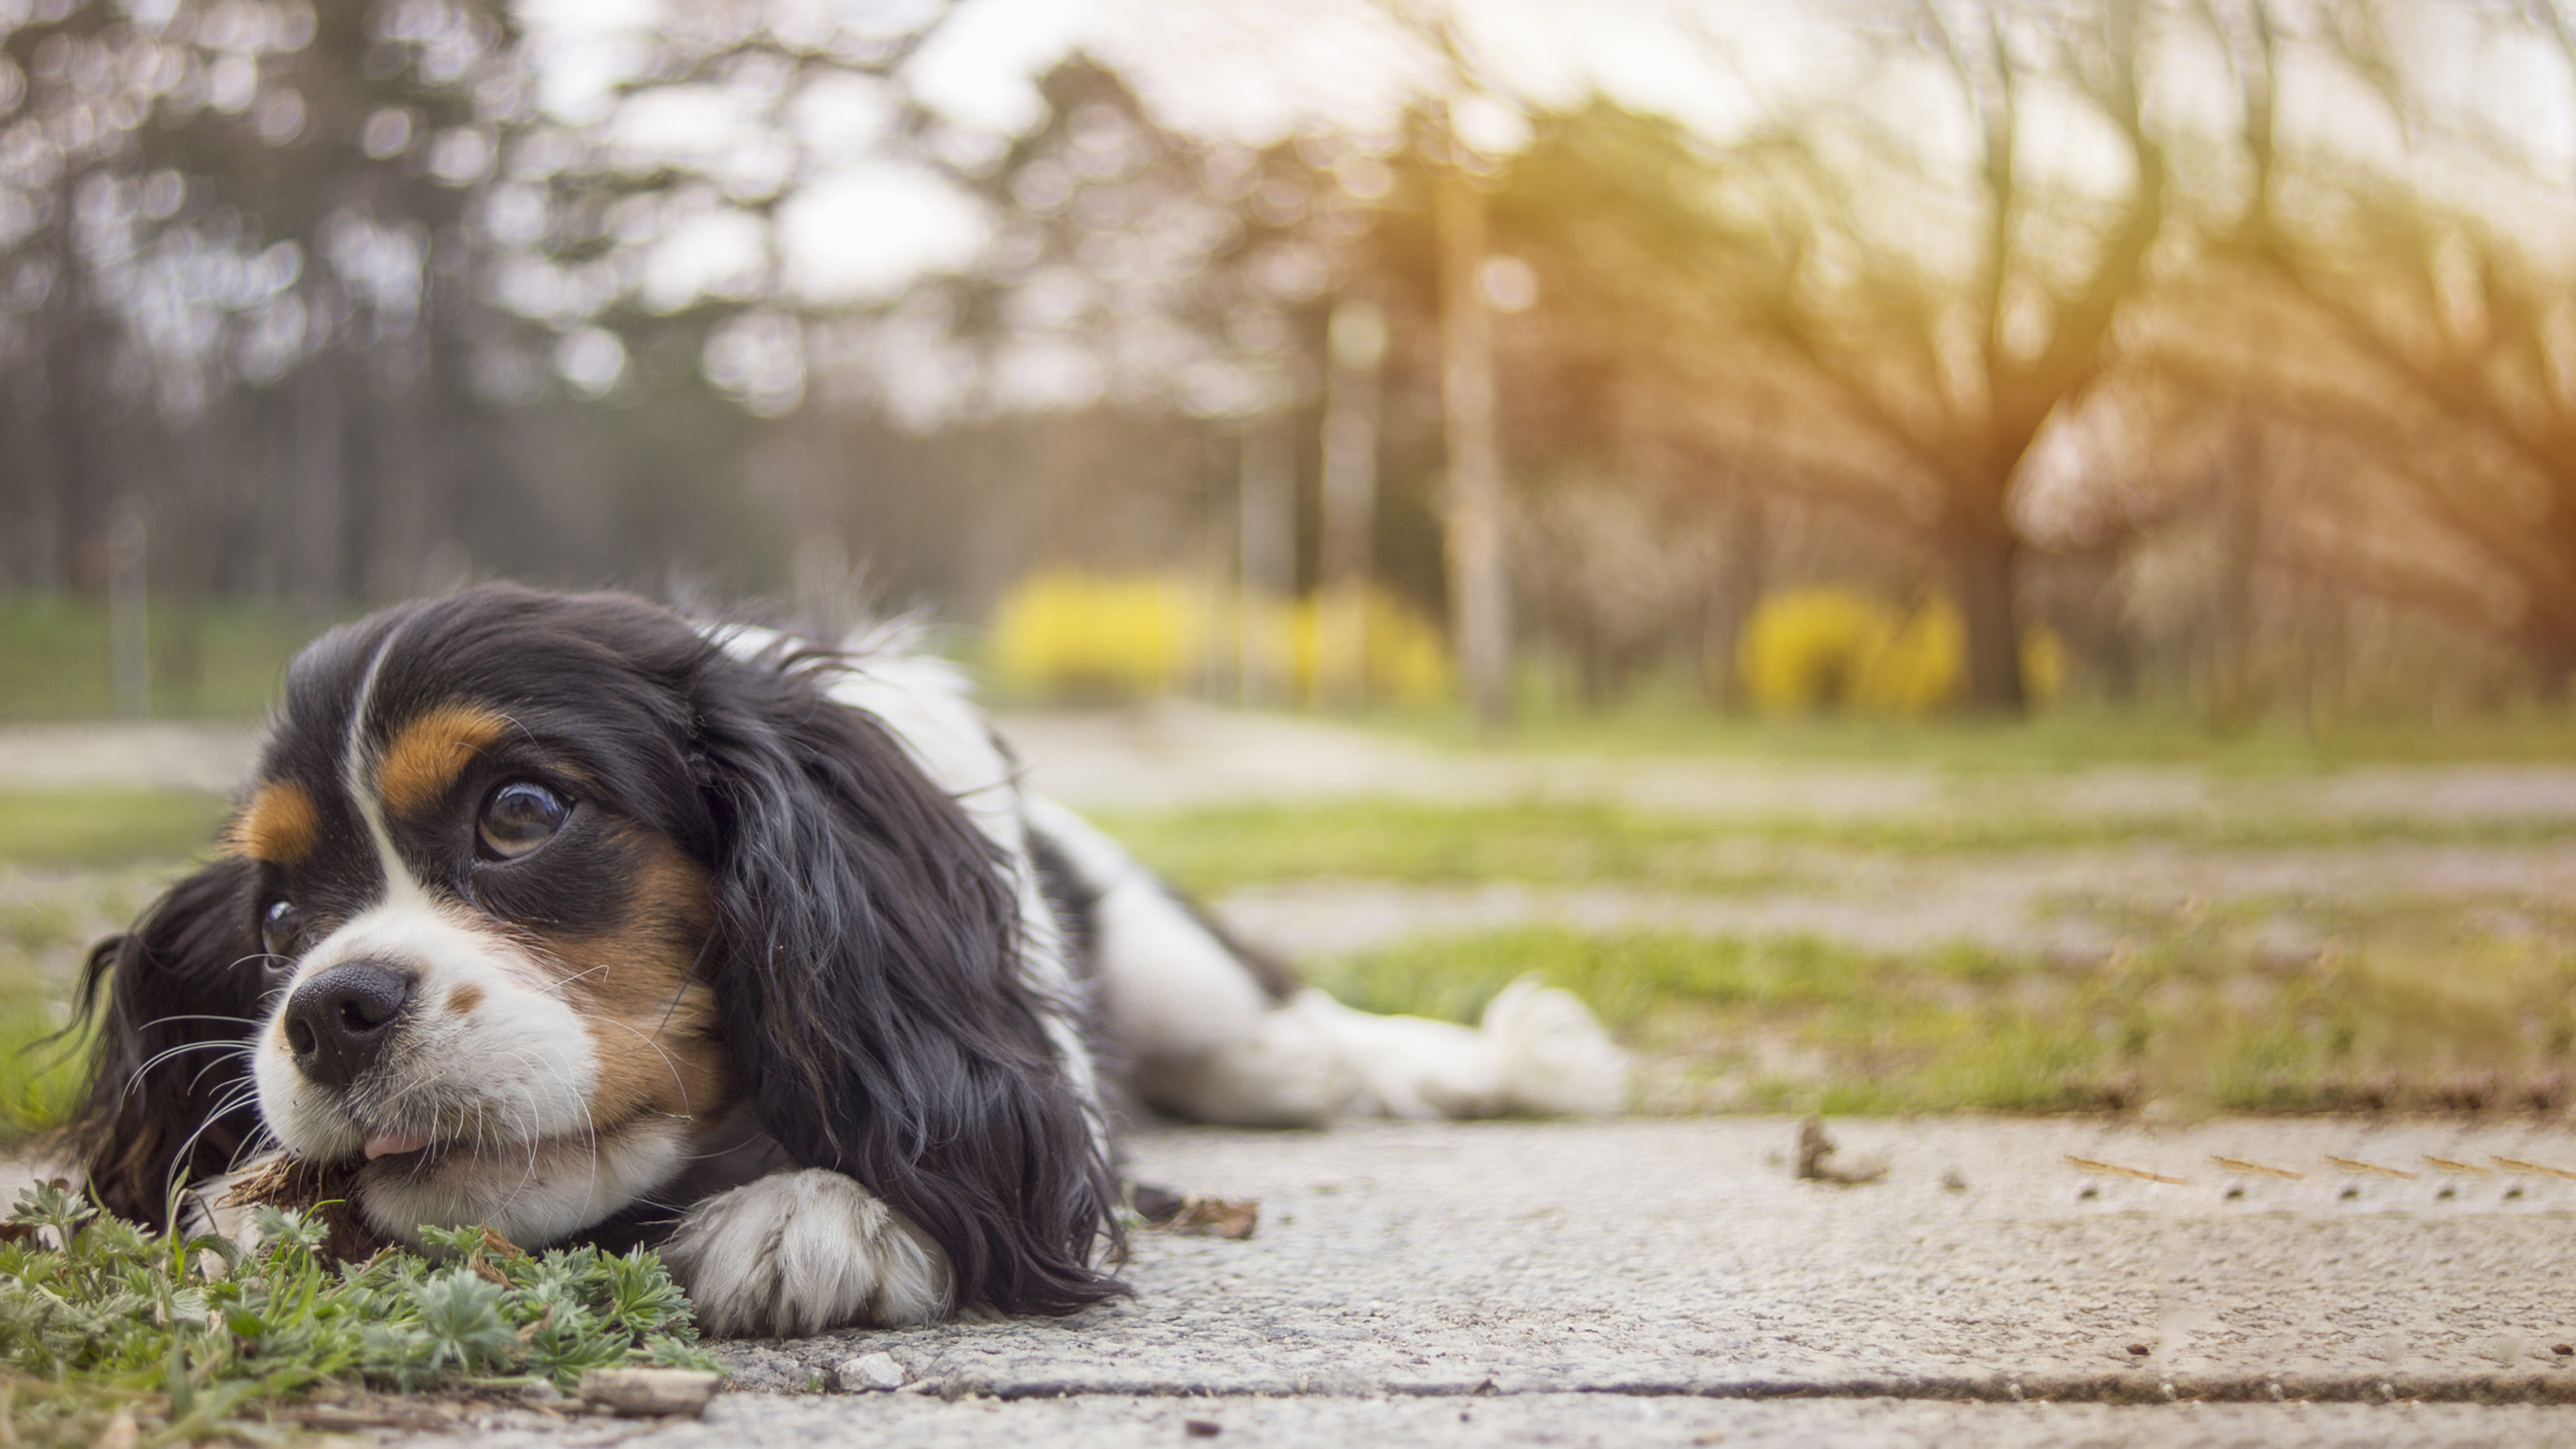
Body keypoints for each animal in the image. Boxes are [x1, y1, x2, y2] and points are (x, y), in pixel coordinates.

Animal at [70, 580, 1617, 1330]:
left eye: (521, 813)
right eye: (278, 922)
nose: (326, 1012)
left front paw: (822, 1214)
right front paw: (246, 1206)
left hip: (1197, 987)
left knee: (1299, 1038)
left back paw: (1500, 1062)